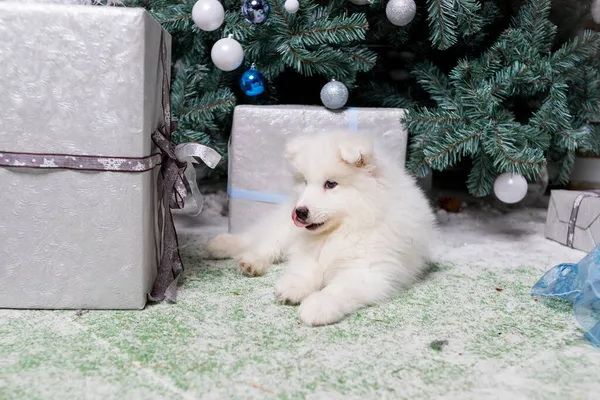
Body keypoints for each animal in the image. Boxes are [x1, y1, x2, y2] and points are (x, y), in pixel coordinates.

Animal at [206, 130, 436, 326]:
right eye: (305, 182)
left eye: (331, 184)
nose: (299, 212)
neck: (344, 229)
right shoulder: (308, 250)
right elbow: (305, 270)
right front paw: (293, 287)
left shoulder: (369, 270)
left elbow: (339, 289)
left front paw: (318, 306)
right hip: (284, 230)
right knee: (264, 243)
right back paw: (245, 259)